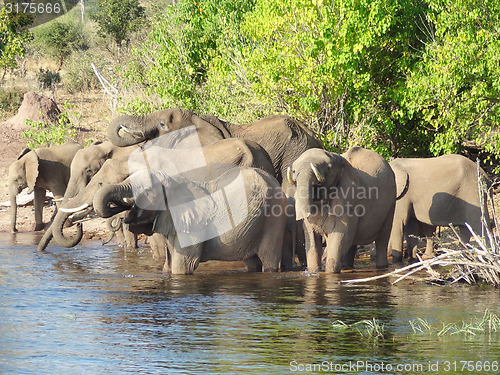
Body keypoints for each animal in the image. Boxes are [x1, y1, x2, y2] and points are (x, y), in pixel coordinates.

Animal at [94, 167, 290, 276]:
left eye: (147, 190)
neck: (172, 182)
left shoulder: (192, 226)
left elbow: (182, 266)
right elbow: (168, 265)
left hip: (274, 217)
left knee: (269, 262)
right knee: (252, 263)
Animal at [288, 146, 396, 274]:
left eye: (328, 168)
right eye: (294, 171)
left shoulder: (350, 198)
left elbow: (340, 237)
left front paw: (330, 273)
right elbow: (312, 240)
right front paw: (313, 272)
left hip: (391, 204)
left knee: (382, 239)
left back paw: (381, 267)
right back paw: (347, 267)